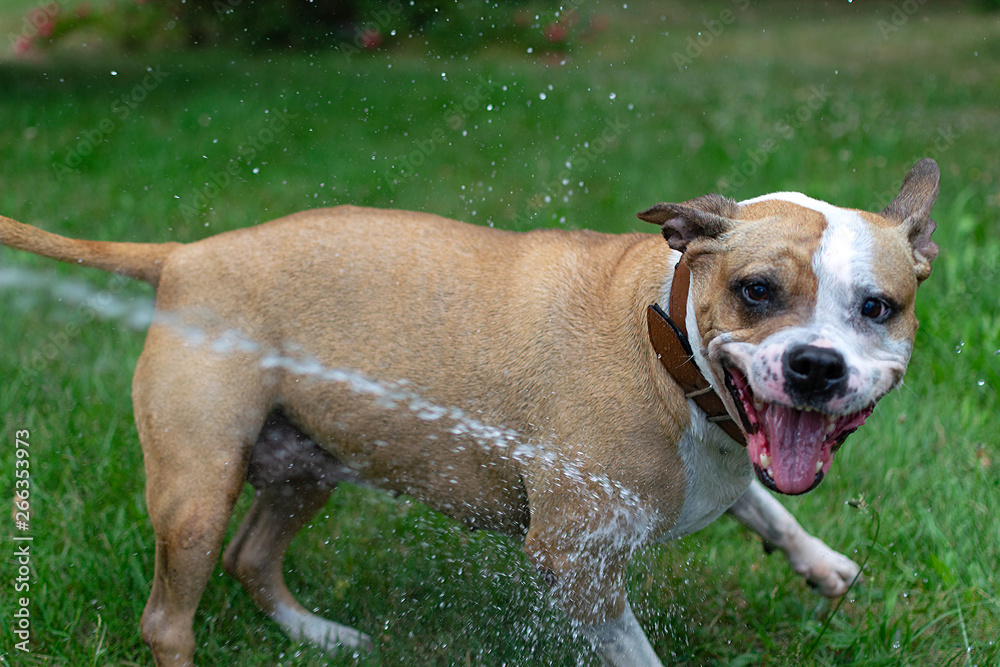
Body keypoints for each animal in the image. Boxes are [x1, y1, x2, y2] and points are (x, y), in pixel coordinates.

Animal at [0, 159, 936, 664]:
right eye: (757, 291)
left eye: (877, 307)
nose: (816, 366)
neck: (665, 343)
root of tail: (186, 255)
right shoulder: (575, 561)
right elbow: (637, 645)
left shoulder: (724, 468)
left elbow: (764, 503)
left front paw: (821, 561)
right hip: (197, 489)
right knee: (170, 614)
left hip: (306, 463)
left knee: (252, 557)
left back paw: (323, 635)